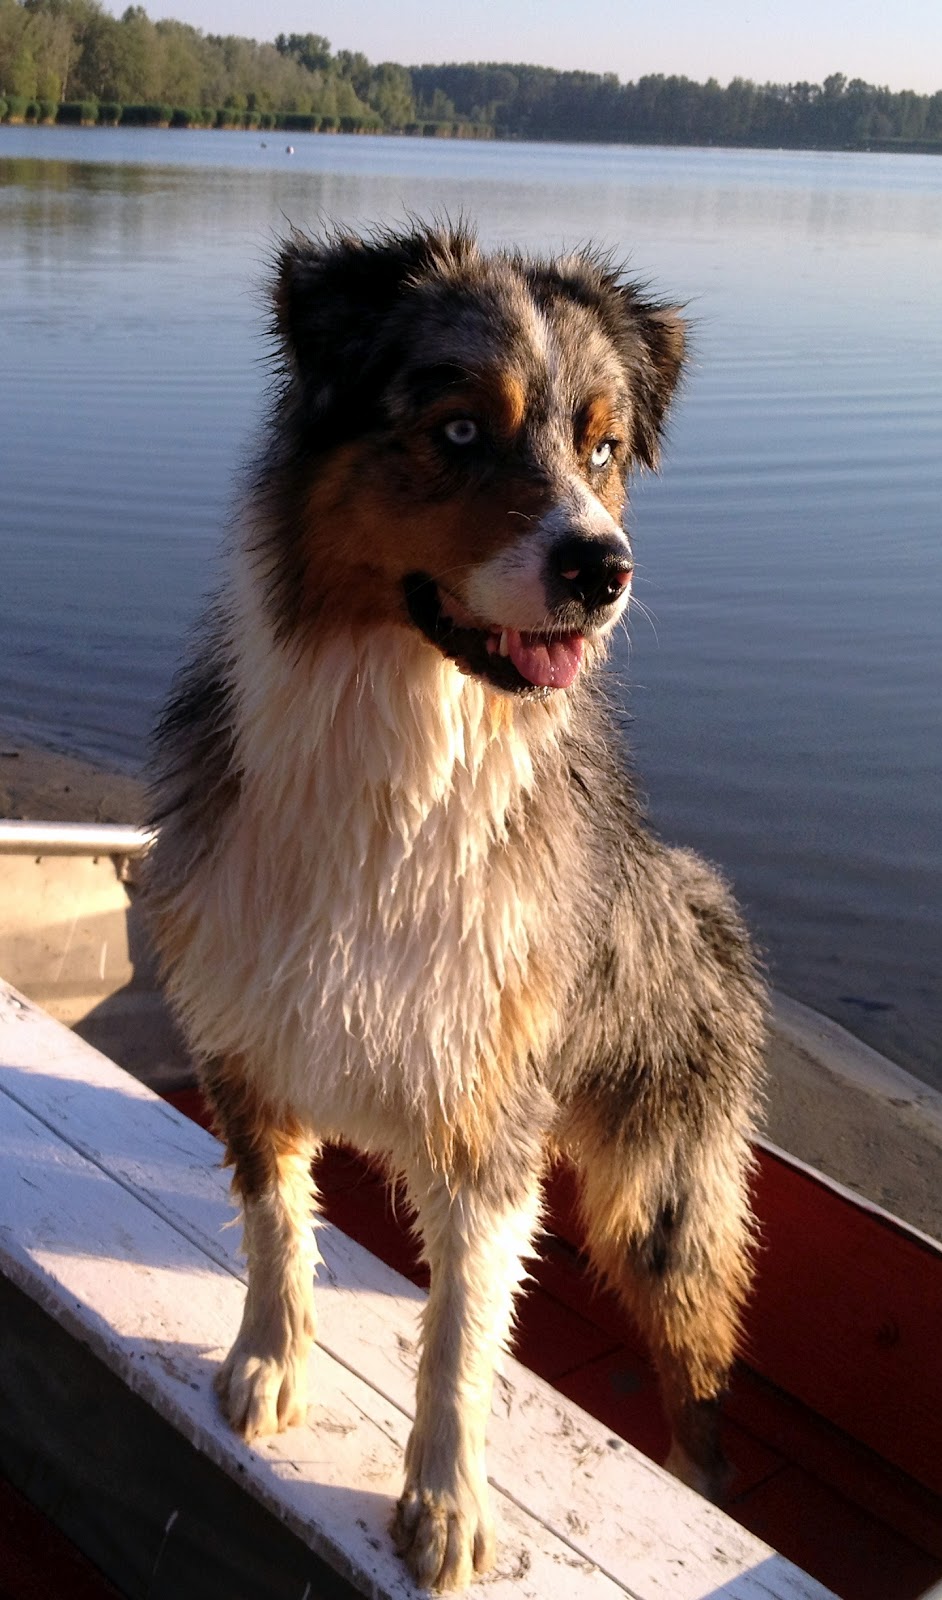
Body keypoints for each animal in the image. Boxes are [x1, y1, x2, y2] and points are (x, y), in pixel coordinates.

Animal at [146, 222, 765, 1593]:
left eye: (601, 447)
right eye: (463, 429)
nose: (601, 569)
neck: (405, 750)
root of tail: (694, 887)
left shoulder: (489, 1118)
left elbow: (461, 1329)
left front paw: (444, 1500)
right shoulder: (247, 1035)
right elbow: (276, 1225)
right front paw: (271, 1359)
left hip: (664, 1198)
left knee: (696, 1367)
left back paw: (697, 1469)